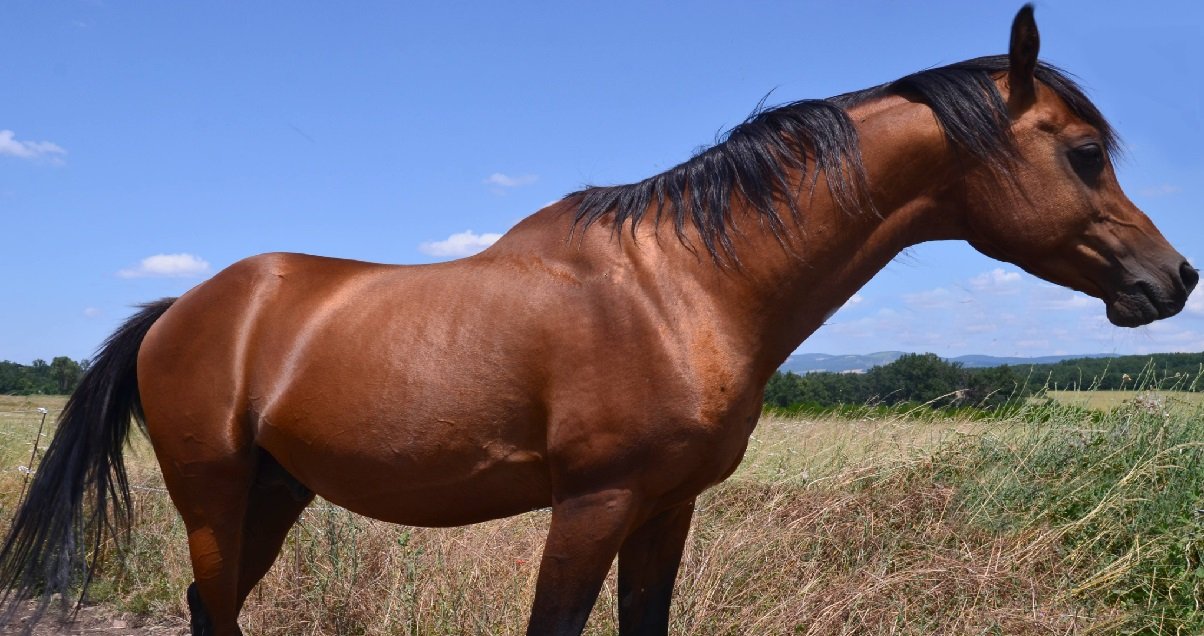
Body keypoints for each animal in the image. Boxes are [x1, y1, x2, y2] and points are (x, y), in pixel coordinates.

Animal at [0, 6, 1194, 636]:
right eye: (1084, 154)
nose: (1172, 278)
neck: (682, 290)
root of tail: (184, 307)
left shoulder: (665, 509)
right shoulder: (594, 504)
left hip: (274, 491)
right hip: (210, 491)